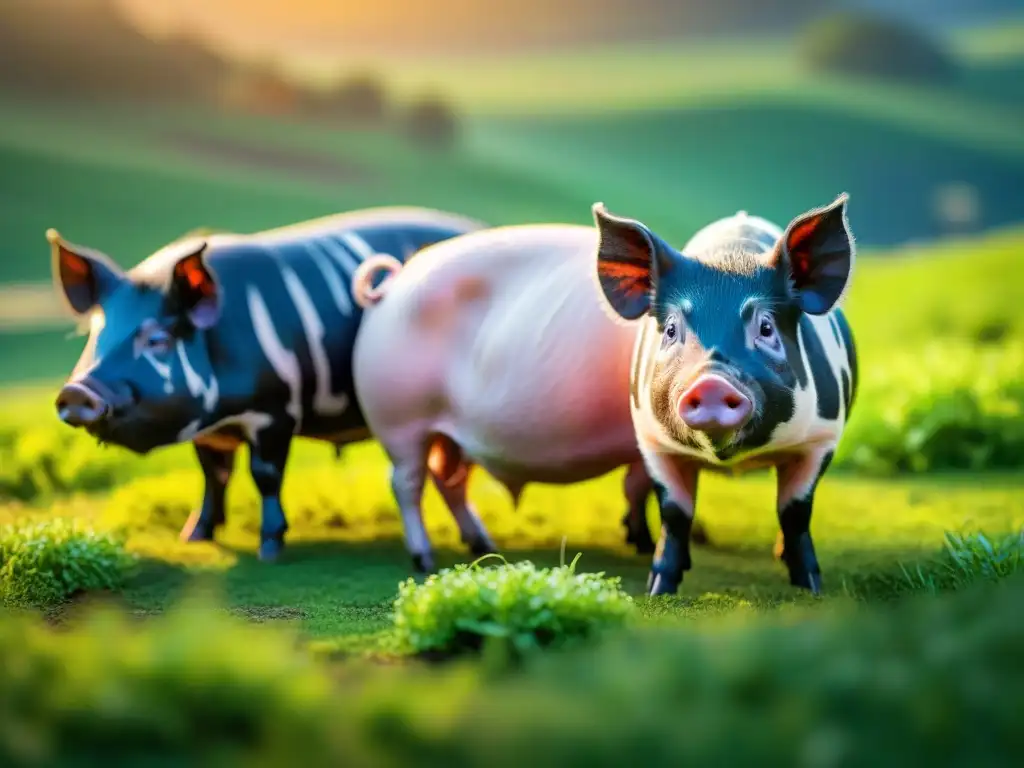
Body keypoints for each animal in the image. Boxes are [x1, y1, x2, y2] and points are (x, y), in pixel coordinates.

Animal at [50, 207, 486, 561]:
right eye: (95, 334)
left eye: (157, 339)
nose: (76, 391)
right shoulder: (210, 433)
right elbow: (214, 475)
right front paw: (195, 536)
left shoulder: (275, 412)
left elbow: (265, 474)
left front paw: (270, 549)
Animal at [348, 223, 668, 574]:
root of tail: (393, 283)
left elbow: (638, 486)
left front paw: (642, 542)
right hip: (400, 421)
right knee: (406, 482)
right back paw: (424, 560)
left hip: (456, 434)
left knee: (448, 480)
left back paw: (482, 545)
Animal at [592, 194, 858, 596]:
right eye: (671, 330)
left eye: (766, 327)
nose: (712, 383)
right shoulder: (653, 441)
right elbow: (675, 513)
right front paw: (658, 590)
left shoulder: (821, 438)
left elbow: (795, 511)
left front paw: (811, 588)